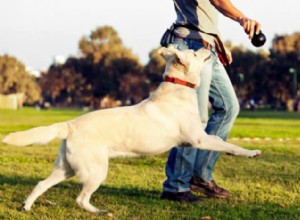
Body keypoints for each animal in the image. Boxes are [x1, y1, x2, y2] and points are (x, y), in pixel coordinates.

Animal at [2, 46, 260, 213]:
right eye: (195, 53)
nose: (210, 47)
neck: (178, 88)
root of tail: (69, 125)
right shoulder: (199, 139)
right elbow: (226, 143)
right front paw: (251, 153)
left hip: (65, 168)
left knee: (41, 184)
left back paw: (26, 207)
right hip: (95, 170)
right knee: (80, 198)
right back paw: (98, 211)